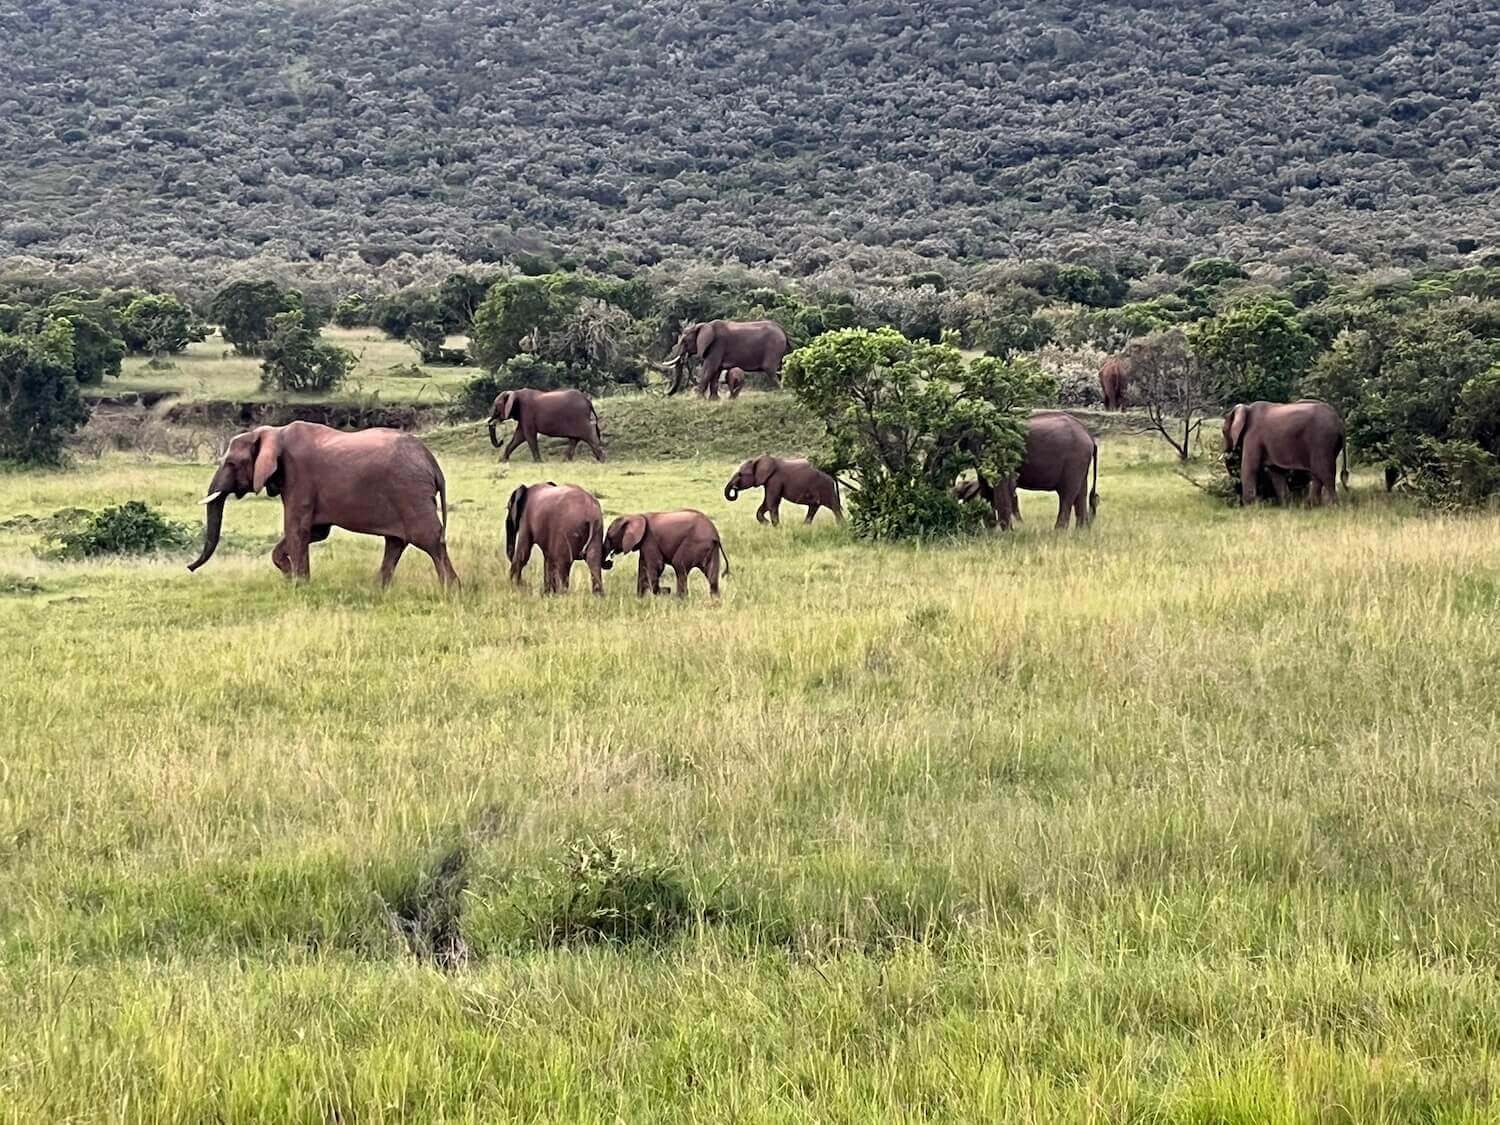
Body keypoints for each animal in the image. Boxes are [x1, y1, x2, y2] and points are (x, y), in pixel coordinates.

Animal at [187, 420, 456, 585]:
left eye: (231, 463)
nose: (189, 568)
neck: (275, 432)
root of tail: (432, 462)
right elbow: (315, 532)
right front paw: (291, 576)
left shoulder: (299, 477)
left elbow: (297, 529)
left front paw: (300, 584)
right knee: (395, 543)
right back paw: (378, 588)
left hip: (410, 492)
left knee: (430, 540)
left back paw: (451, 590)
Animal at [603, 510, 732, 600]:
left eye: (609, 536)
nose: (609, 562)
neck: (636, 516)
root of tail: (715, 534)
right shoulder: (644, 543)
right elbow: (642, 567)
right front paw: (640, 599)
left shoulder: (650, 539)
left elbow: (657, 566)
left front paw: (665, 591)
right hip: (711, 548)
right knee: (712, 575)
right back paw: (715, 600)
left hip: (694, 543)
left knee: (679, 566)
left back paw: (679, 599)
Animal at [660, 319, 792, 399]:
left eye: (684, 341)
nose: (665, 393)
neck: (703, 325)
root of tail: (783, 330)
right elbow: (716, 372)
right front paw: (714, 400)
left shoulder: (717, 345)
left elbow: (709, 368)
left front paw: (698, 398)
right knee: (780, 370)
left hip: (774, 347)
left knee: (771, 371)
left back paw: (781, 393)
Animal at [954, 411, 1098, 531]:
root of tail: (1089, 436)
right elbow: (987, 489)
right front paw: (992, 531)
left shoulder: (1005, 453)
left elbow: (1006, 486)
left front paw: (1007, 533)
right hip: (1080, 462)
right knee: (1081, 493)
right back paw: (1081, 531)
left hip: (1075, 459)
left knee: (1067, 494)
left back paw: (1059, 532)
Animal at [1218, 402, 1350, 507]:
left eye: (1223, 431)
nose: (1238, 504)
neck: (1246, 408)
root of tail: (1339, 422)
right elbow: (1276, 472)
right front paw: (1286, 505)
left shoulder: (1253, 436)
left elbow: (1249, 468)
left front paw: (1249, 507)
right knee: (1317, 474)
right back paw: (1311, 506)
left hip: (1322, 441)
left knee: (1325, 473)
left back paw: (1333, 507)